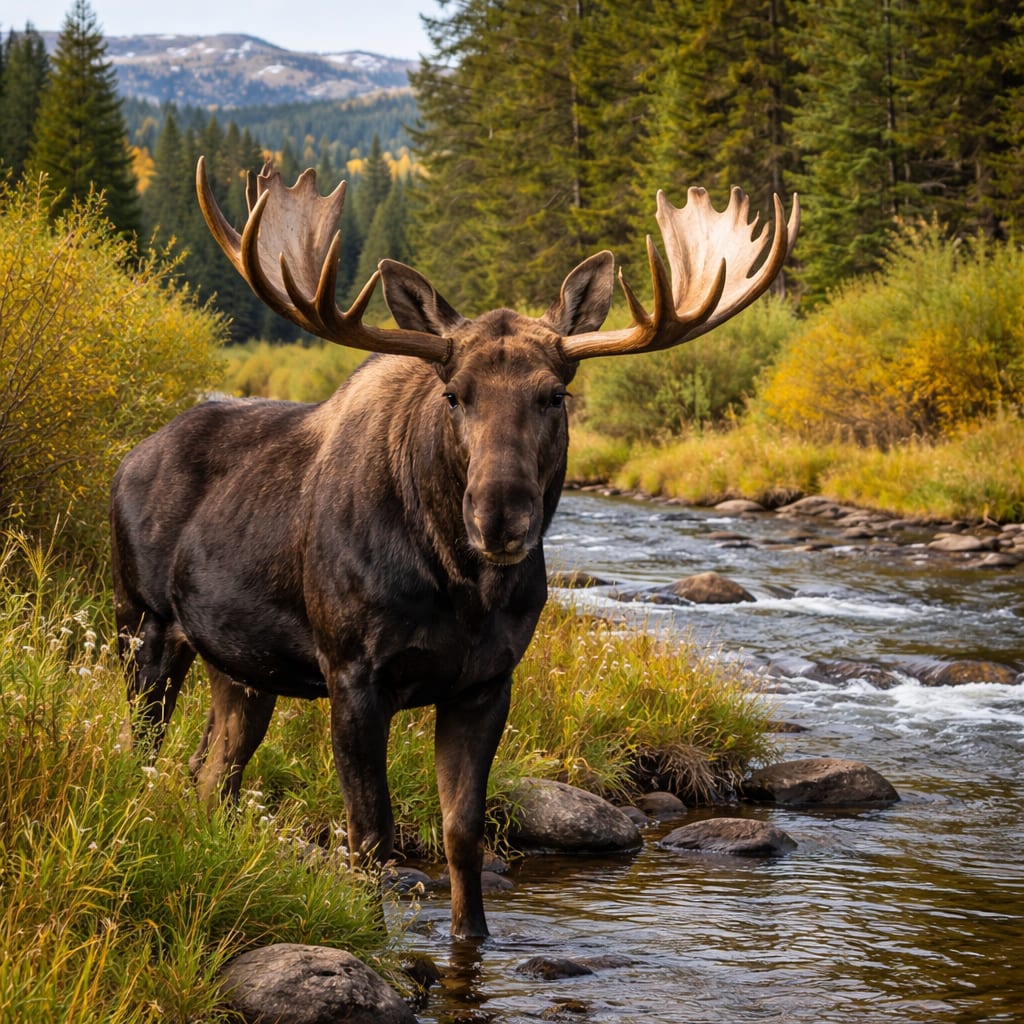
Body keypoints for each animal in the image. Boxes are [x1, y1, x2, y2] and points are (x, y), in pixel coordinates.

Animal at [110, 156, 798, 939]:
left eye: (555, 395)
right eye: (453, 394)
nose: (500, 517)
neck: (461, 587)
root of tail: (127, 459)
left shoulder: (485, 682)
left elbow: (461, 832)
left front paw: (474, 938)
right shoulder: (353, 673)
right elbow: (370, 834)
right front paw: (370, 939)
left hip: (242, 669)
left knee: (211, 776)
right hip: (143, 626)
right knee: (146, 753)